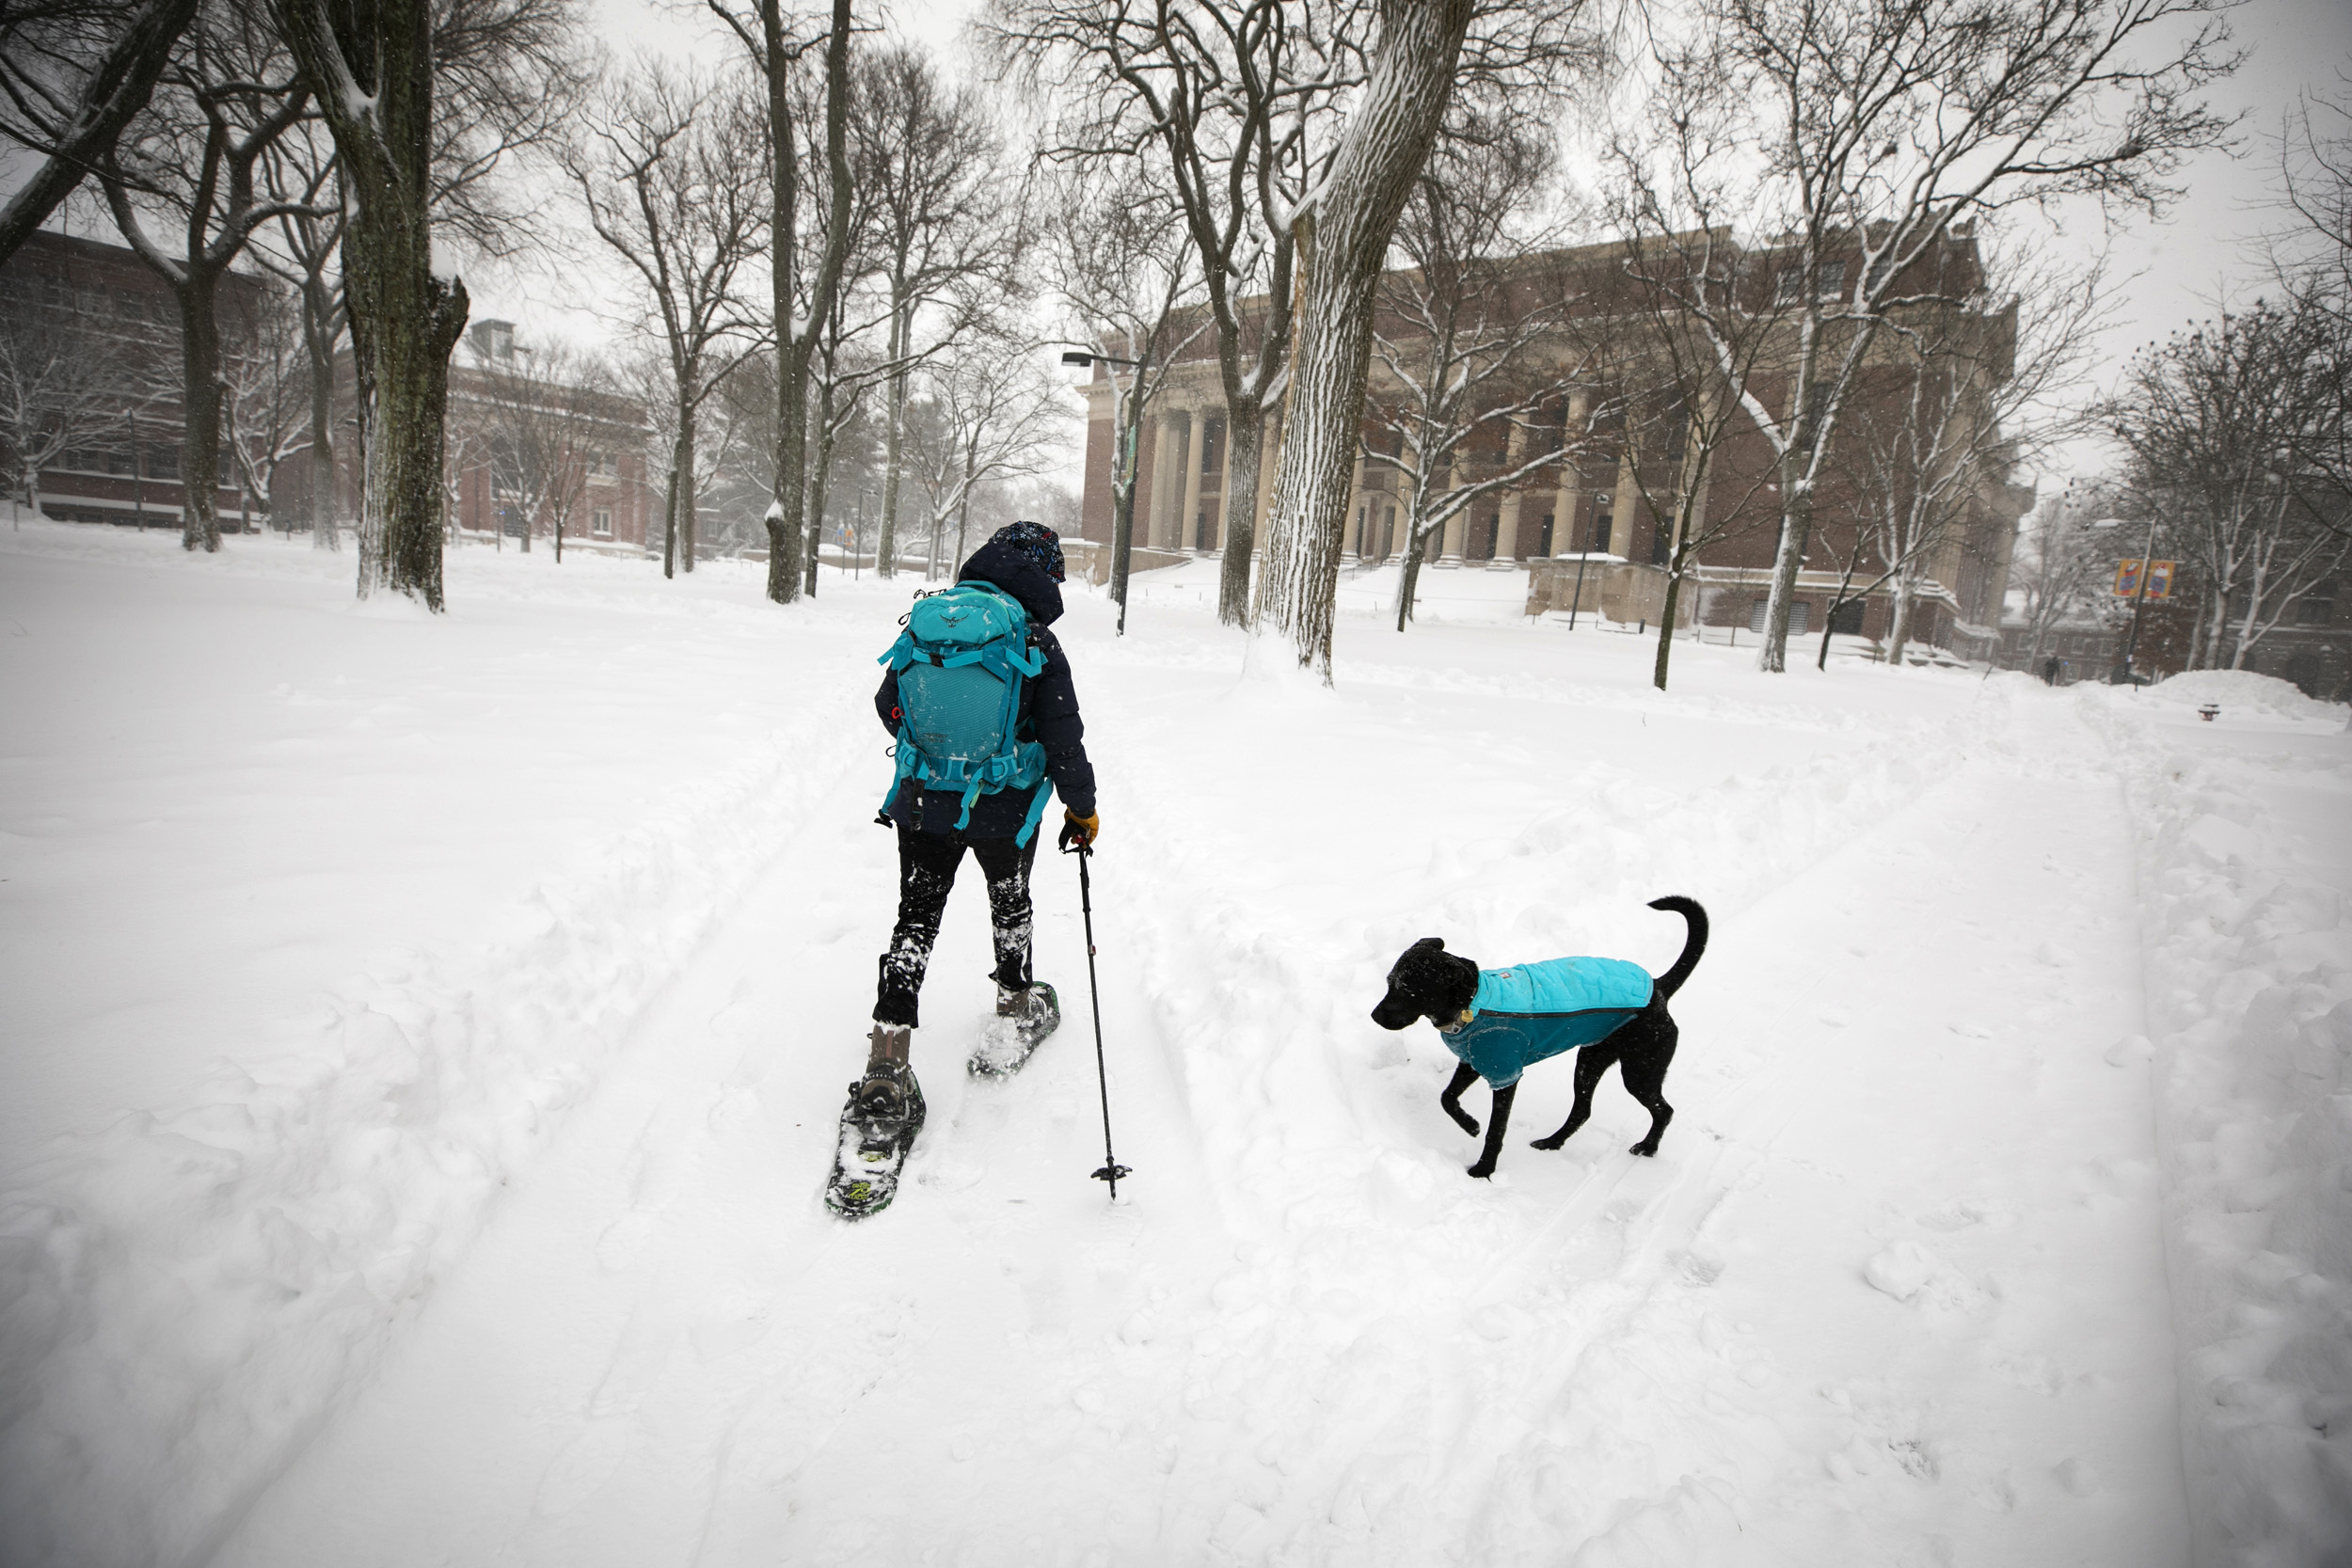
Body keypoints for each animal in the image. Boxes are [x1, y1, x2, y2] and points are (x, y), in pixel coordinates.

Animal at [1364, 893, 1712, 1175]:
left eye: (1408, 989)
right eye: (1389, 981)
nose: (1374, 1016)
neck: (1471, 1003)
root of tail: (1658, 989)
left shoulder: (1505, 1074)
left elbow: (1495, 1131)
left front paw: (1483, 1169)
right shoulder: (1473, 1062)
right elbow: (1446, 1098)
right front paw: (1470, 1125)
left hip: (1641, 1070)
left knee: (1663, 1110)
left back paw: (1648, 1147)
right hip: (1590, 1061)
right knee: (1582, 1110)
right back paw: (1552, 1142)